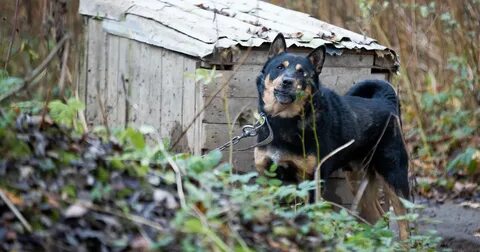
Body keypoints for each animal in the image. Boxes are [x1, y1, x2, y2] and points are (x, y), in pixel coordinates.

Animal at [255, 34, 408, 239]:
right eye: (279, 67)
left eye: (302, 73)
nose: (287, 81)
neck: (284, 122)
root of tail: (386, 102)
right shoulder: (266, 177)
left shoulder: (312, 181)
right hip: (358, 180)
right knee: (377, 217)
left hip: (394, 177)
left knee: (406, 222)